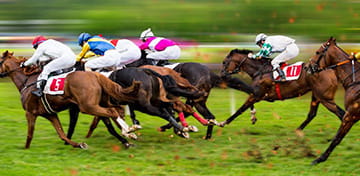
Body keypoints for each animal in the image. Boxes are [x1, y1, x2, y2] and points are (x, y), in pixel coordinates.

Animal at [0, 50, 140, 149]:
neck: (26, 81)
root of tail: (95, 75)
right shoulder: (50, 114)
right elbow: (61, 133)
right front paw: (79, 144)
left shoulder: (30, 112)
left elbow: (30, 133)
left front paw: (25, 149)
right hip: (99, 103)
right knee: (115, 111)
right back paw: (129, 132)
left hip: (88, 106)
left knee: (112, 112)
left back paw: (128, 131)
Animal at [308, 37, 358, 165]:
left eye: (317, 52)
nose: (307, 67)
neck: (355, 81)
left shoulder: (351, 115)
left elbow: (337, 138)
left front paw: (320, 158)